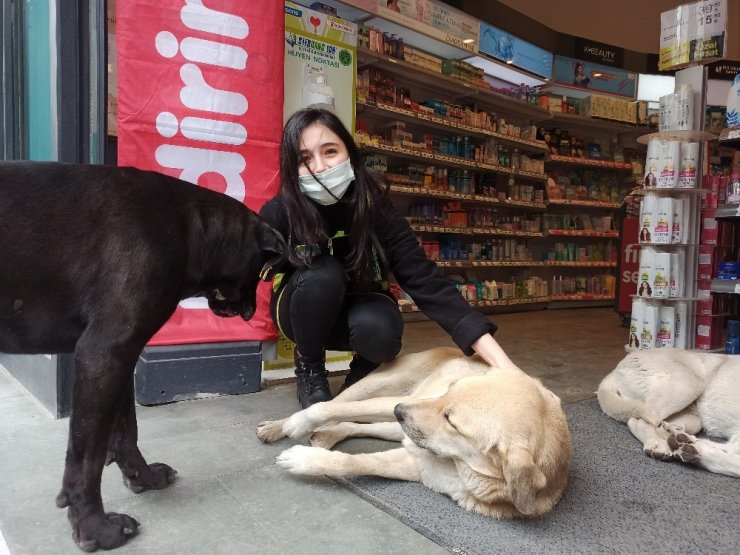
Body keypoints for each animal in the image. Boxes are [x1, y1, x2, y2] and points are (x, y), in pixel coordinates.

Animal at [0, 161, 286, 552]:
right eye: (261, 271)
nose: (252, 312)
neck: (189, 226)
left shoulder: (121, 356)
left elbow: (126, 429)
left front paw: (143, 477)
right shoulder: (105, 353)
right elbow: (86, 457)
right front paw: (95, 529)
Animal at [258, 350, 576, 520]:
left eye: (452, 422)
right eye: (450, 390)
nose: (400, 410)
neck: (461, 468)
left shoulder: (415, 462)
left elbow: (354, 462)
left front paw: (306, 458)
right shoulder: (406, 405)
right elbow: (325, 408)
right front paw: (297, 427)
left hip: (399, 426)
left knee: (357, 424)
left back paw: (326, 436)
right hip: (381, 390)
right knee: (338, 403)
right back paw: (279, 426)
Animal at [596, 350, 740, 480]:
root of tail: (616, 368)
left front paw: (692, 448)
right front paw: (694, 449)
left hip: (693, 417)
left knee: (641, 421)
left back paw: (674, 435)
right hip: (689, 385)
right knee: (645, 418)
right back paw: (659, 443)